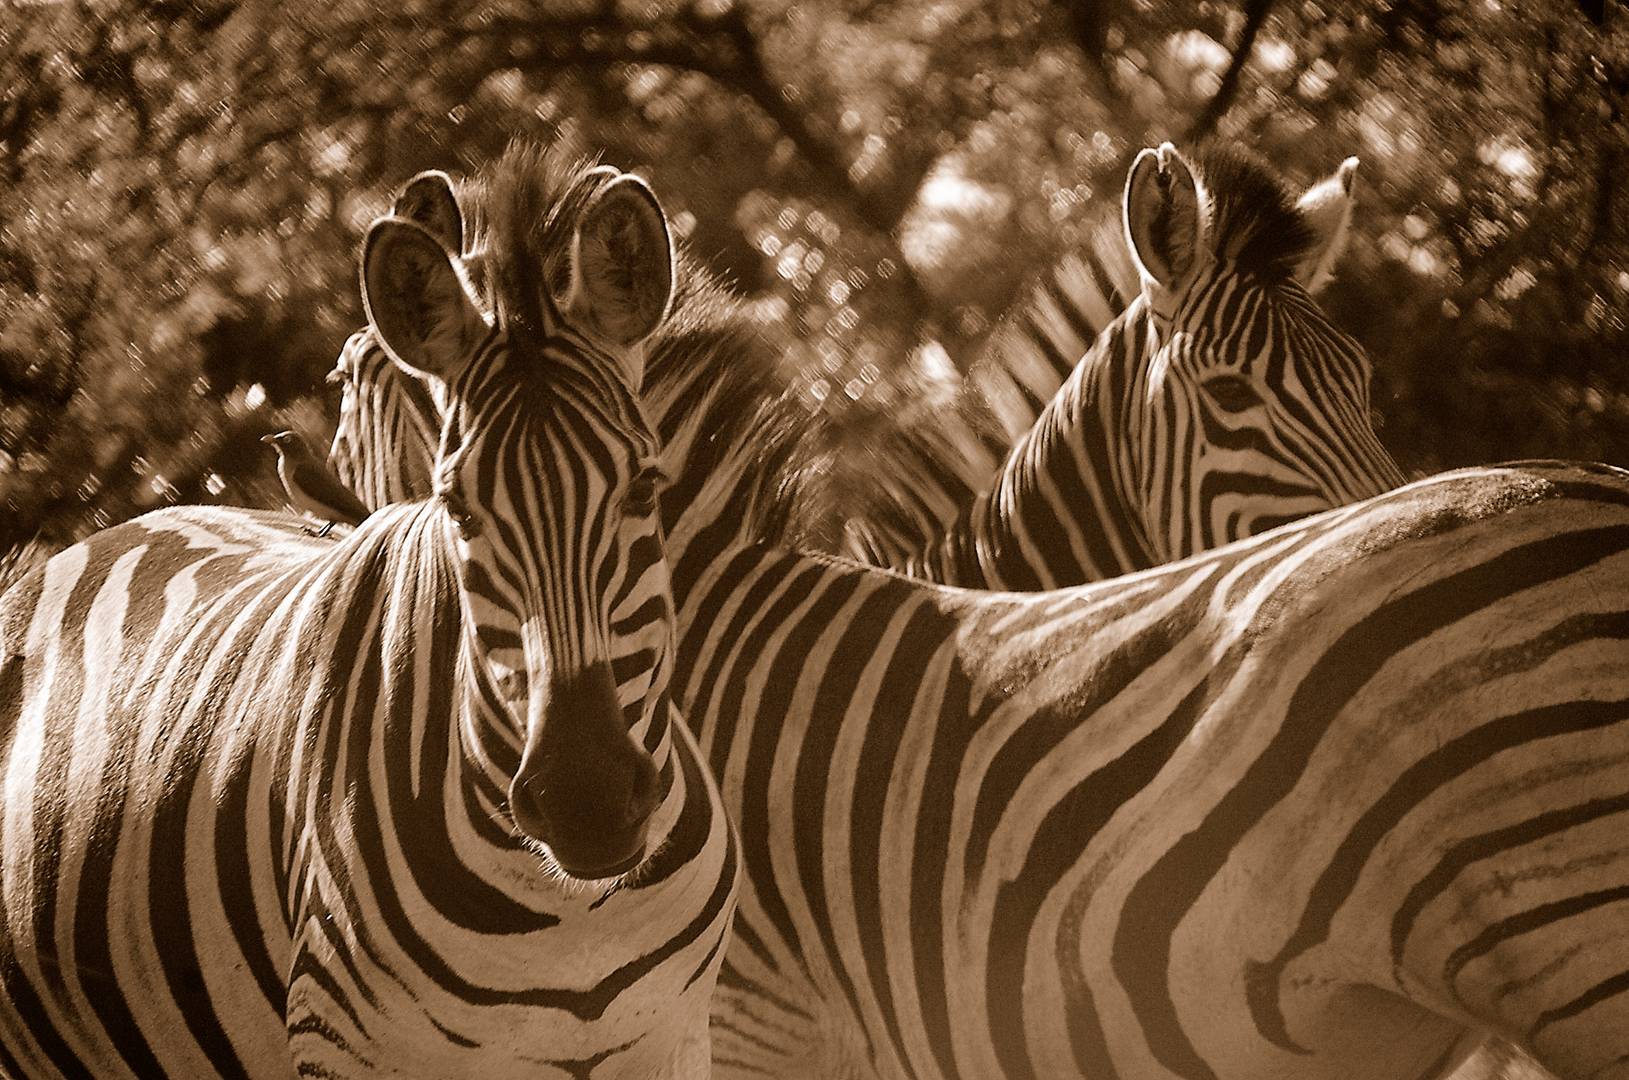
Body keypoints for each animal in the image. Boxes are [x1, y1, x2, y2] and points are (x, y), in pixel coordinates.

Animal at [0, 145, 733, 1080]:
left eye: (644, 487)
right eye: (457, 511)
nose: (587, 800)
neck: (569, 912)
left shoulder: (675, 1037)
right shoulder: (345, 1043)